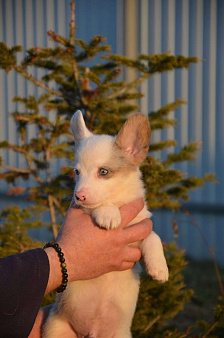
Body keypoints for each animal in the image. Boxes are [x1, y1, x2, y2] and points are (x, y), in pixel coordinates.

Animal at [44, 111, 168, 338]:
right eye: (76, 172)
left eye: (103, 172)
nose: (78, 195)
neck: (119, 201)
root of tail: (90, 332)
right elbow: (99, 206)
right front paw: (109, 214)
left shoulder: (139, 231)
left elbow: (153, 237)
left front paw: (159, 268)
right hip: (54, 329)